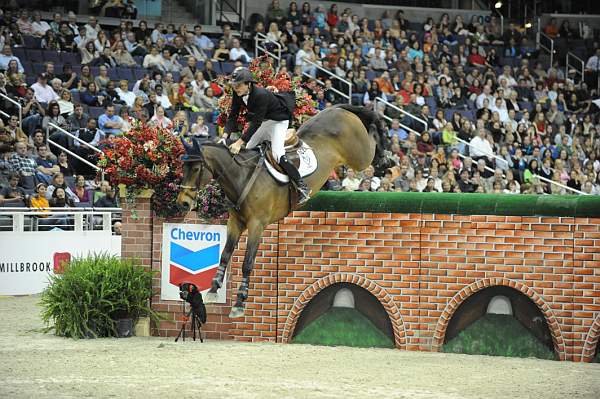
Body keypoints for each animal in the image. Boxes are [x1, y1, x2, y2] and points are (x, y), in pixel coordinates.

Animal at [176, 104, 386, 318]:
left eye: (195, 169)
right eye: (183, 167)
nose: (183, 203)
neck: (241, 176)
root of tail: (337, 109)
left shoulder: (256, 225)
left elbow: (247, 262)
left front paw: (239, 303)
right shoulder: (235, 222)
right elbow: (225, 254)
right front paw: (213, 290)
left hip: (359, 156)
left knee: (372, 138)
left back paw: (382, 147)